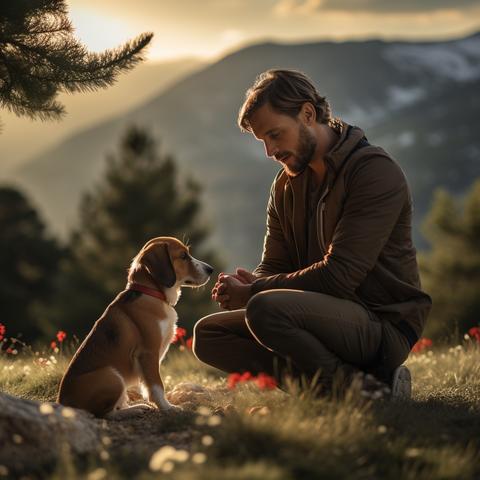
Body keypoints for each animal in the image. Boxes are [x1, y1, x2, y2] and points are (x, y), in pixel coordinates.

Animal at [57, 238, 213, 418]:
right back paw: (133, 409)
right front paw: (167, 407)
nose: (211, 269)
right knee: (104, 414)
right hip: (111, 375)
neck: (151, 293)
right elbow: (157, 385)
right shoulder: (149, 353)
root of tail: (62, 403)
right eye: (183, 256)